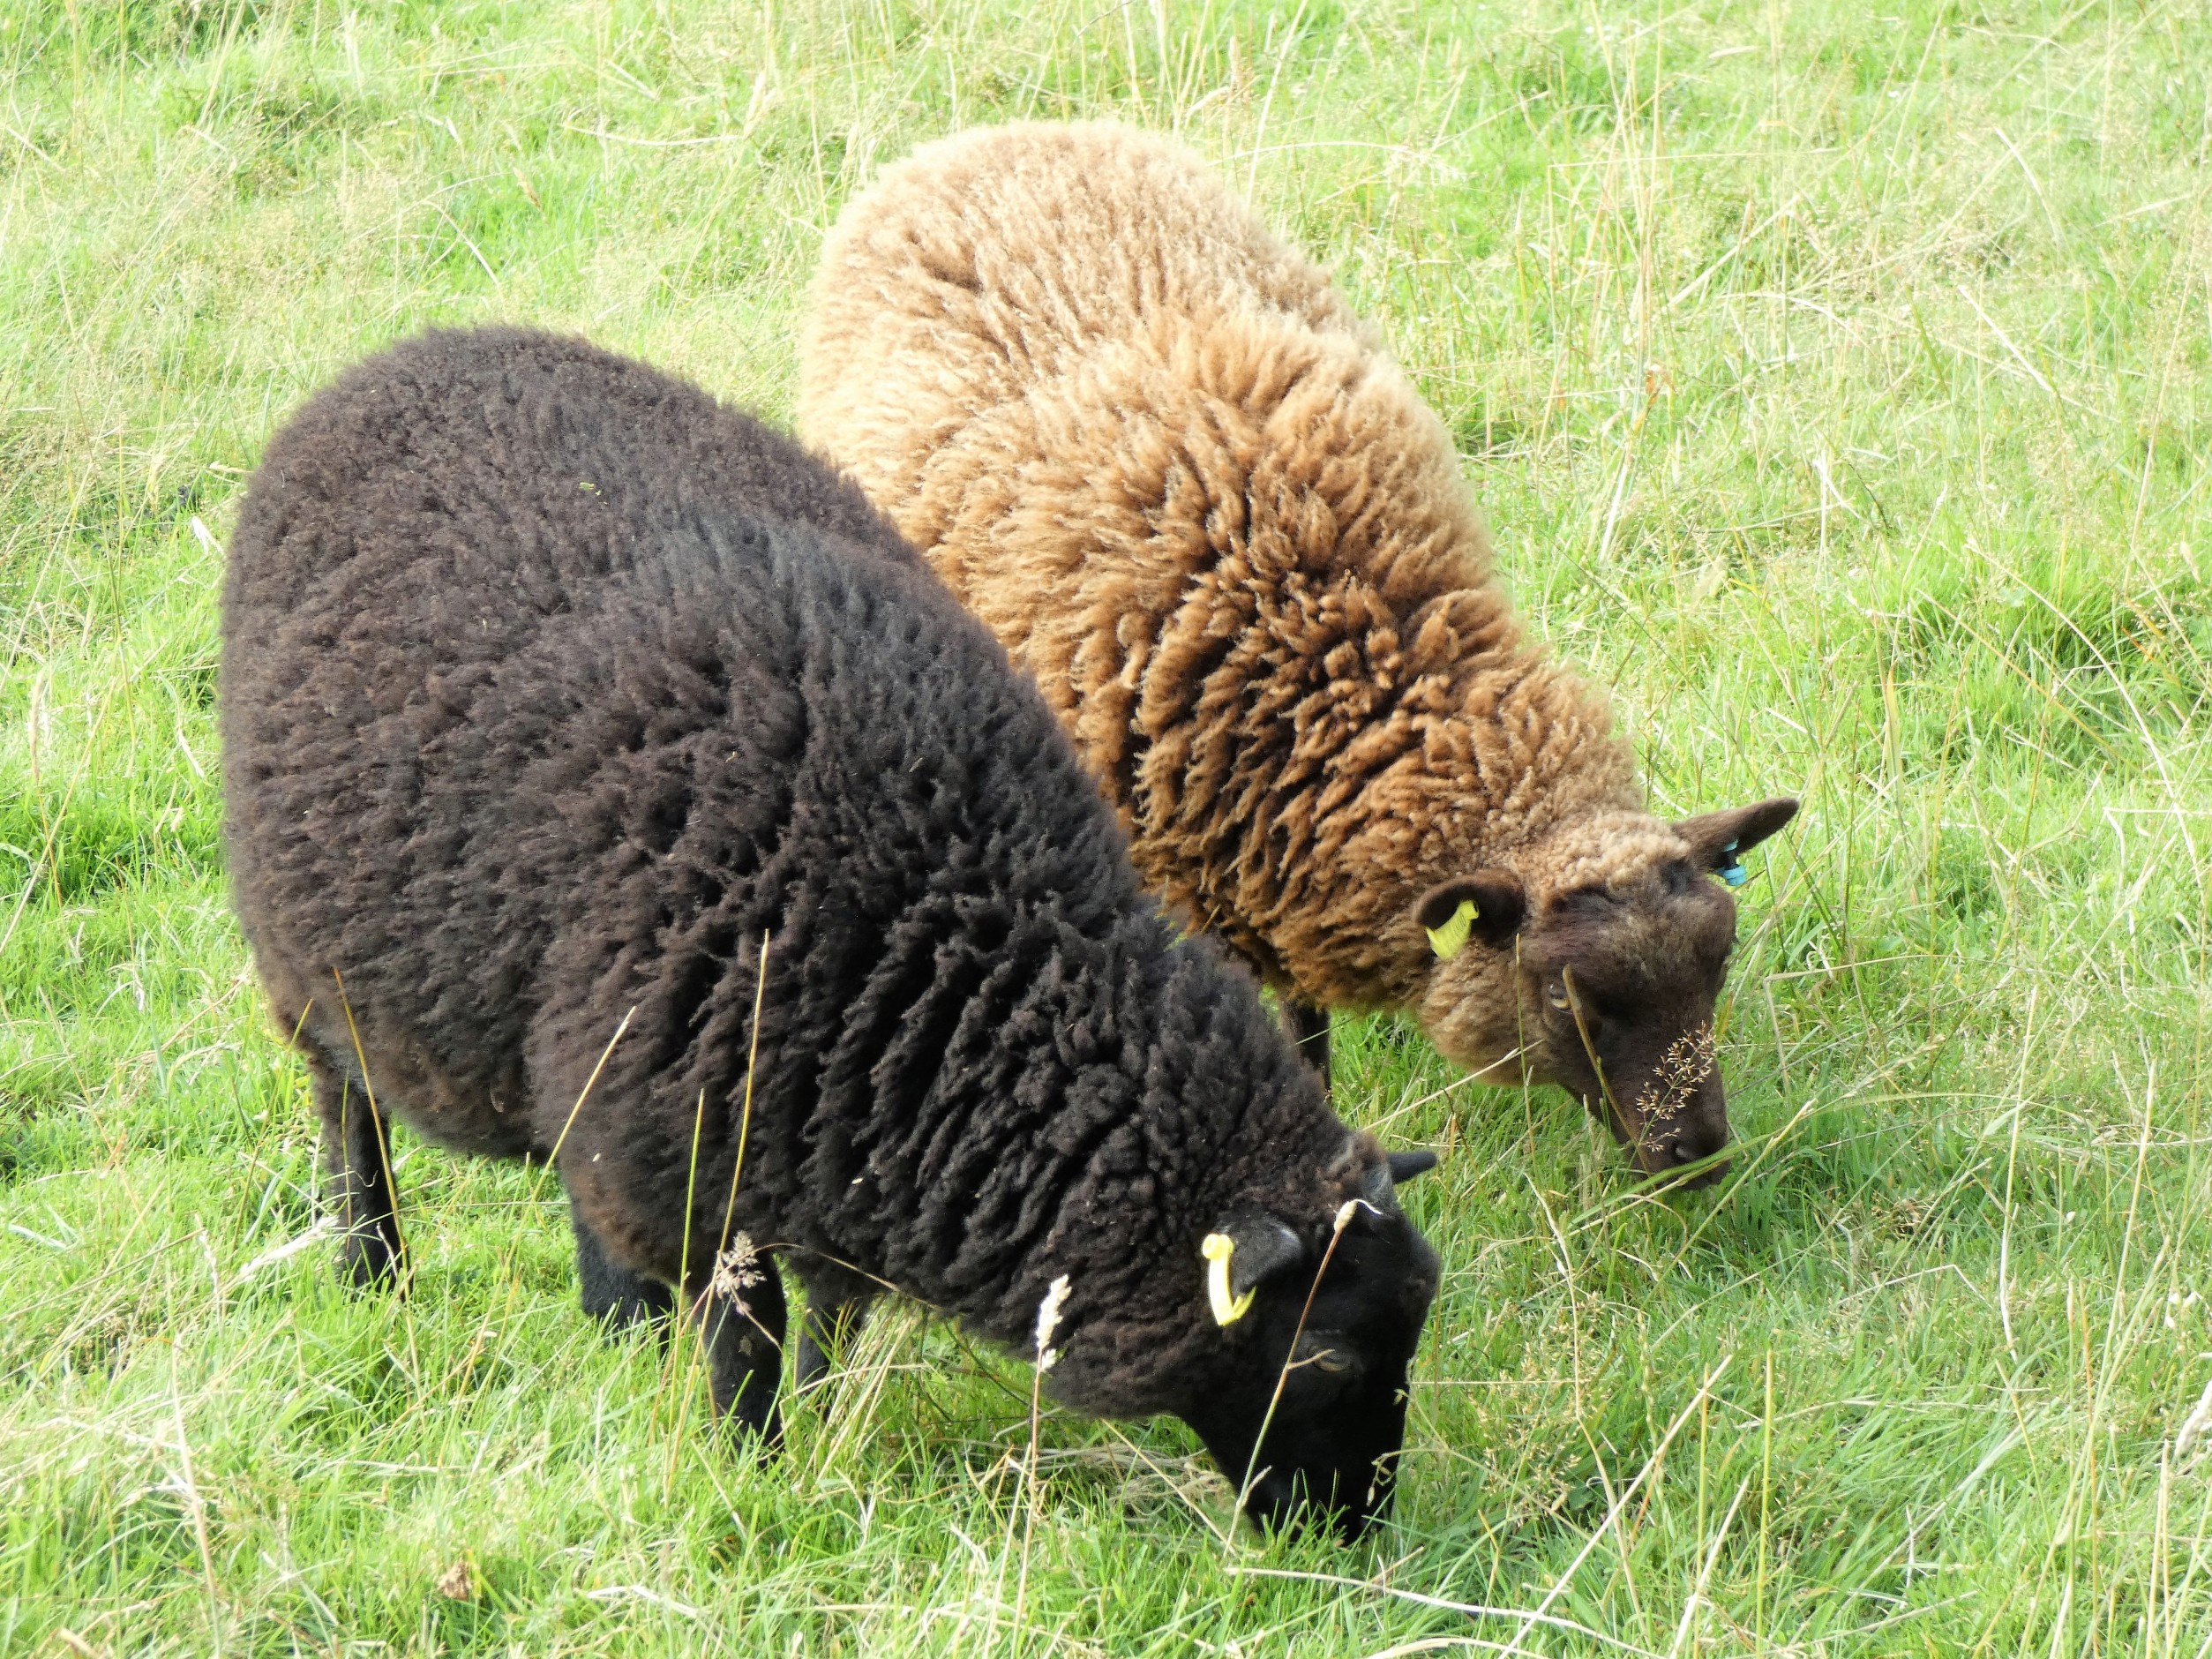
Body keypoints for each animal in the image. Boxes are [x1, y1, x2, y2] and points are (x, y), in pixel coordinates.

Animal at [219, 326, 1441, 1539]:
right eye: (1326, 1355)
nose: (1352, 1534)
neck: (949, 949)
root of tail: (397, 356)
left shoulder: (824, 1150)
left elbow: (829, 1316)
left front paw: (816, 1415)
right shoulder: (710, 1167)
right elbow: (743, 1342)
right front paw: (753, 1468)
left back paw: (612, 1320)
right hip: (314, 964)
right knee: (349, 1110)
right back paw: (375, 1270)